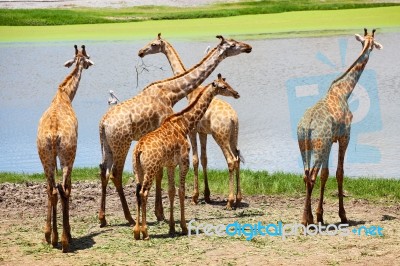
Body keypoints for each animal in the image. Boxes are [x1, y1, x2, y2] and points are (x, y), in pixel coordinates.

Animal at [36, 45, 94, 251]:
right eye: (86, 57)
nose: (88, 65)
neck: (65, 95)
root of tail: (54, 136)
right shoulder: (72, 155)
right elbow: (68, 188)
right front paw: (67, 233)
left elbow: (50, 189)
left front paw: (48, 234)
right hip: (68, 155)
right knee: (63, 190)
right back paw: (65, 239)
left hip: (45, 156)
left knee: (52, 189)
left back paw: (51, 237)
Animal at [133, 74, 239, 240]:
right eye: (223, 87)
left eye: (227, 83)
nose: (236, 93)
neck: (183, 124)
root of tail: (139, 149)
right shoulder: (184, 162)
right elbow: (181, 191)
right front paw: (183, 227)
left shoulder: (170, 164)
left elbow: (171, 191)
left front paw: (171, 227)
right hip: (150, 169)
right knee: (144, 193)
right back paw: (145, 232)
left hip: (137, 170)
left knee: (138, 193)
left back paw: (136, 231)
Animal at [138, 33, 242, 209]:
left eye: (153, 44)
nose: (141, 52)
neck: (191, 93)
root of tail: (233, 118)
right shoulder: (203, 132)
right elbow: (204, 159)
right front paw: (206, 195)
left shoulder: (193, 131)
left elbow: (195, 160)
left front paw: (195, 197)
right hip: (233, 136)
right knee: (238, 157)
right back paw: (239, 198)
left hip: (220, 136)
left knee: (230, 160)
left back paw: (230, 201)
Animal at [298, 28, 382, 224]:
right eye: (372, 42)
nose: (371, 48)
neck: (345, 92)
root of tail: (307, 126)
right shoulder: (344, 137)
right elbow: (339, 172)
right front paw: (343, 215)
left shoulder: (331, 142)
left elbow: (325, 174)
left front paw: (320, 215)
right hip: (319, 145)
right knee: (311, 176)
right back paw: (307, 220)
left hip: (305, 146)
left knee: (306, 175)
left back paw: (308, 218)